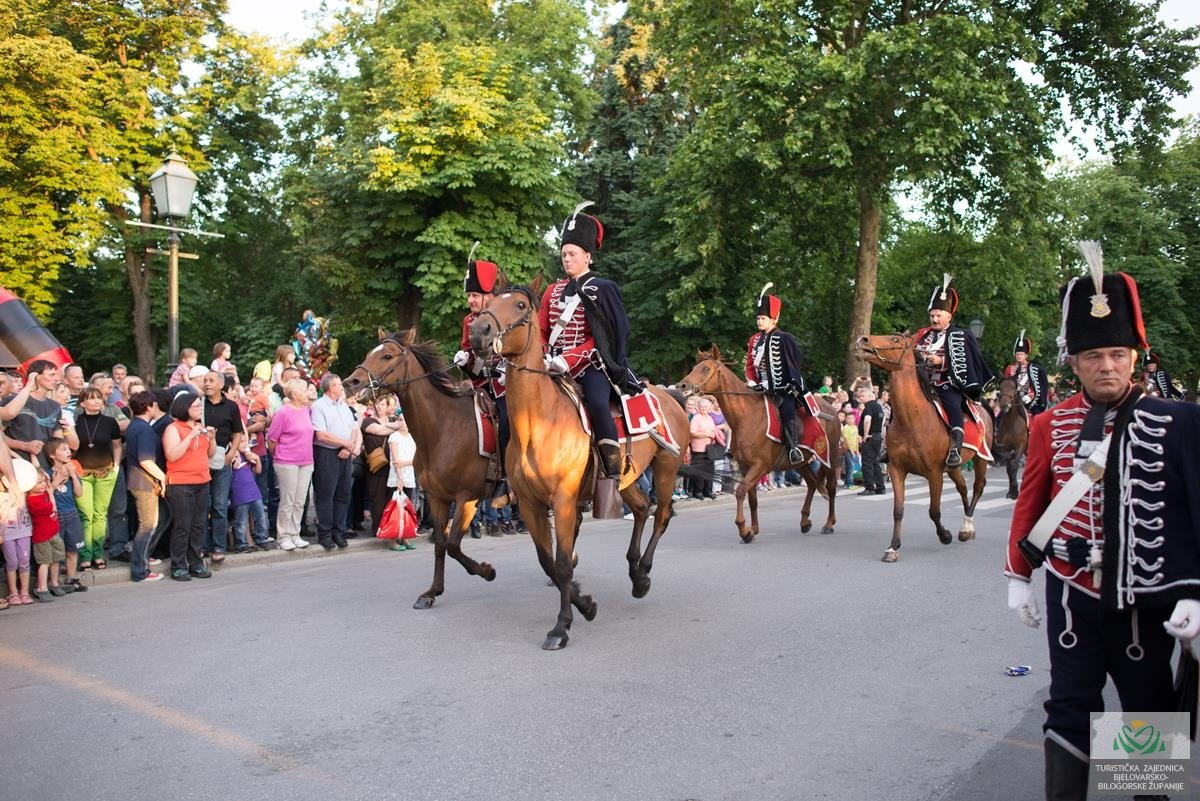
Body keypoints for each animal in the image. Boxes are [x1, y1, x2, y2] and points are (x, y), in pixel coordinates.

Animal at [345, 328, 499, 609]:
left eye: (386, 355)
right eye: (369, 353)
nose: (351, 382)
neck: (443, 428)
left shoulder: (467, 498)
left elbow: (452, 546)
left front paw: (487, 571)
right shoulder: (438, 498)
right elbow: (441, 544)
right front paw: (432, 592)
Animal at [468, 281, 696, 652]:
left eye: (520, 305)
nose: (478, 331)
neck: (538, 422)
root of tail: (669, 396)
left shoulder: (562, 501)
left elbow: (562, 564)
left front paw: (561, 626)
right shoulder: (530, 505)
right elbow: (549, 562)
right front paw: (585, 604)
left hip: (665, 469)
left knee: (661, 514)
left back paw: (644, 573)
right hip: (626, 478)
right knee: (641, 509)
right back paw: (635, 574)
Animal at [681, 347, 840, 541]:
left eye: (706, 368)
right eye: (694, 367)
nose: (682, 386)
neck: (745, 416)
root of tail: (831, 408)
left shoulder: (761, 465)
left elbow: (740, 491)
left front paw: (744, 530)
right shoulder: (745, 466)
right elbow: (752, 497)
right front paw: (753, 529)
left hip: (831, 456)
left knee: (831, 487)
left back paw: (829, 523)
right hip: (800, 462)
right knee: (811, 483)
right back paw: (804, 521)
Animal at [854, 330, 993, 563]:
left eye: (895, 339)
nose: (862, 340)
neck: (912, 420)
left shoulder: (934, 473)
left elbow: (934, 510)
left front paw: (945, 535)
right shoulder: (897, 469)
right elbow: (898, 510)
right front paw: (893, 547)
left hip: (980, 458)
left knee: (978, 487)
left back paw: (967, 527)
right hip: (953, 467)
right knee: (963, 488)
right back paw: (966, 526)